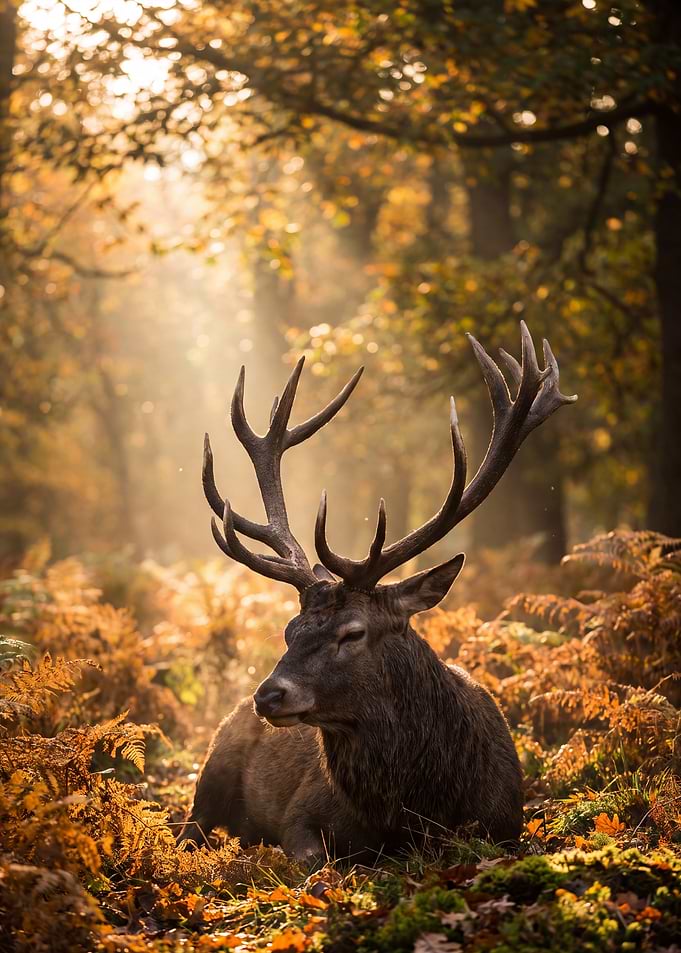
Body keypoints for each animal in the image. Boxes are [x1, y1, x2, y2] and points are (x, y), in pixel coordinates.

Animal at [178, 322, 576, 862]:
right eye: (289, 631)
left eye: (353, 633)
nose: (268, 694)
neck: (411, 812)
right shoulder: (300, 813)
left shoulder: (505, 823)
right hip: (209, 773)